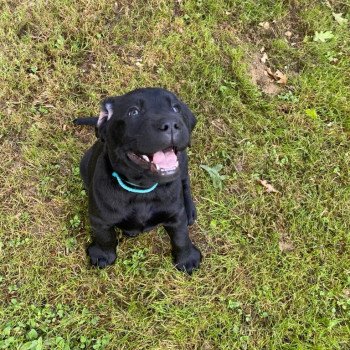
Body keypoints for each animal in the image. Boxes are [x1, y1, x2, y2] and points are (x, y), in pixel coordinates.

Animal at [76, 87, 202, 274]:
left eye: (176, 108)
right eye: (133, 112)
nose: (172, 124)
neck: (143, 189)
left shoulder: (176, 215)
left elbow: (181, 237)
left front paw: (187, 259)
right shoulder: (100, 218)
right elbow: (105, 237)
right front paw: (103, 255)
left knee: (185, 180)